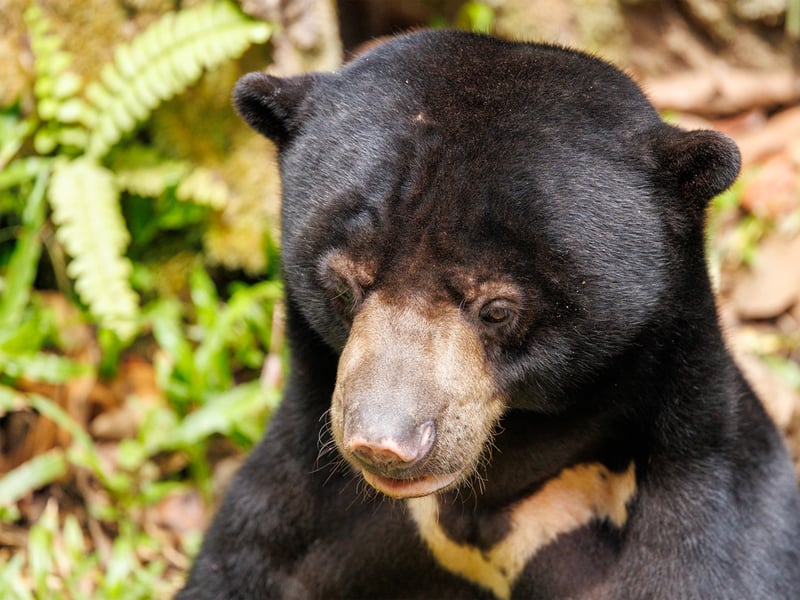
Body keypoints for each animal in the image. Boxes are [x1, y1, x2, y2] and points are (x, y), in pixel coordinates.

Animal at [178, 30, 800, 599]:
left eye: (498, 309)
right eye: (345, 285)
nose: (383, 442)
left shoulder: (698, 488)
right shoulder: (303, 499)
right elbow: (246, 560)